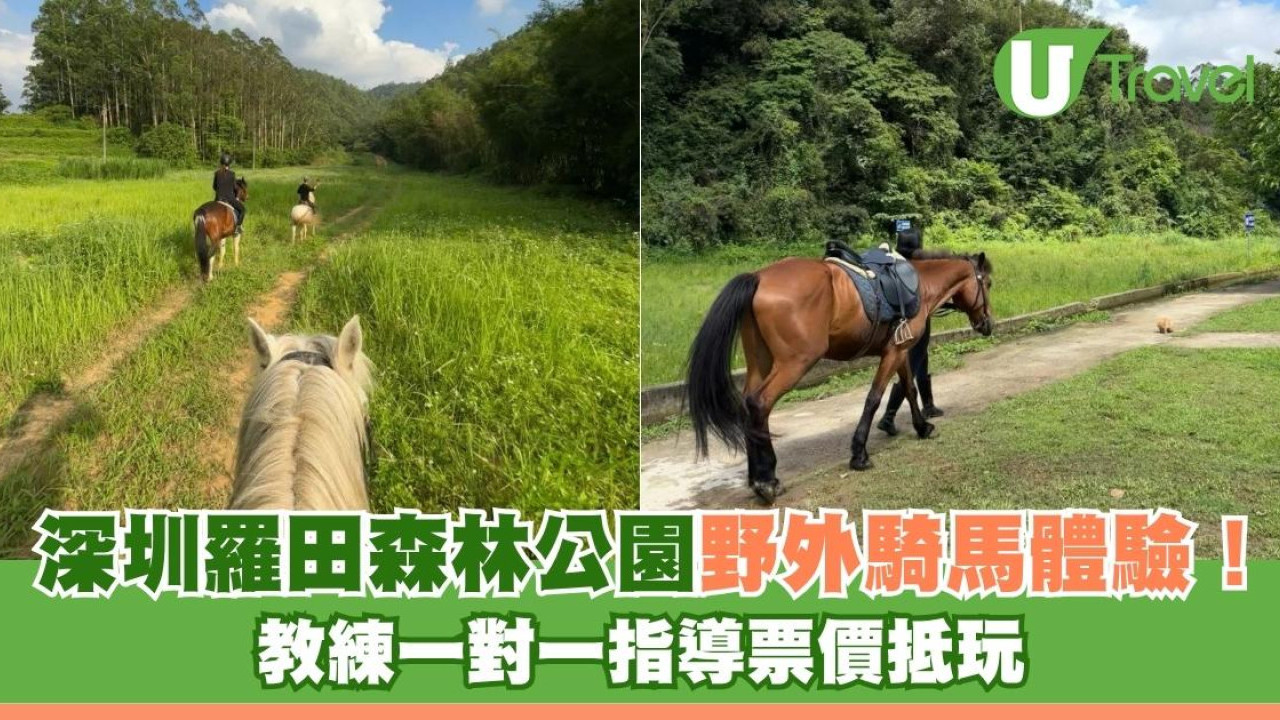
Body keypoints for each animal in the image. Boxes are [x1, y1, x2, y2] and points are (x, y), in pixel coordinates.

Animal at [686, 249, 994, 504]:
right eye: (987, 284)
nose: (988, 323)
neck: (919, 286)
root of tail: (759, 277)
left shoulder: (900, 349)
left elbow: (908, 388)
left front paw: (922, 427)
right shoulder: (894, 352)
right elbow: (874, 398)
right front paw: (859, 454)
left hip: (759, 362)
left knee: (748, 404)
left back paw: (755, 478)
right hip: (795, 363)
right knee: (760, 404)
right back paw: (767, 482)